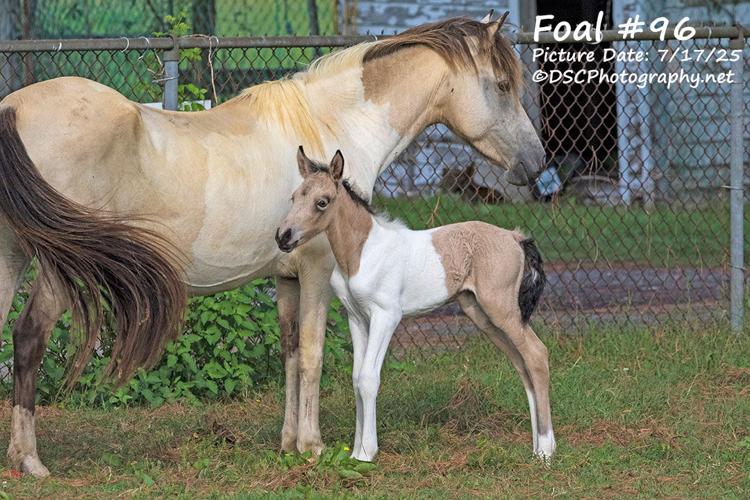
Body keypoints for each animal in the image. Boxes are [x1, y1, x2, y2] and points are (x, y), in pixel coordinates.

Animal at [276, 147, 554, 462]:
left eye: (322, 202)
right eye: (294, 197)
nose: (283, 237)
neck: (361, 253)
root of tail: (515, 237)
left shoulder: (386, 316)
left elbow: (369, 379)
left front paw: (367, 453)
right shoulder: (357, 318)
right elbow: (356, 378)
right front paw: (356, 451)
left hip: (502, 310)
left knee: (536, 354)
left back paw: (546, 451)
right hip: (481, 314)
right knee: (522, 364)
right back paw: (536, 447)